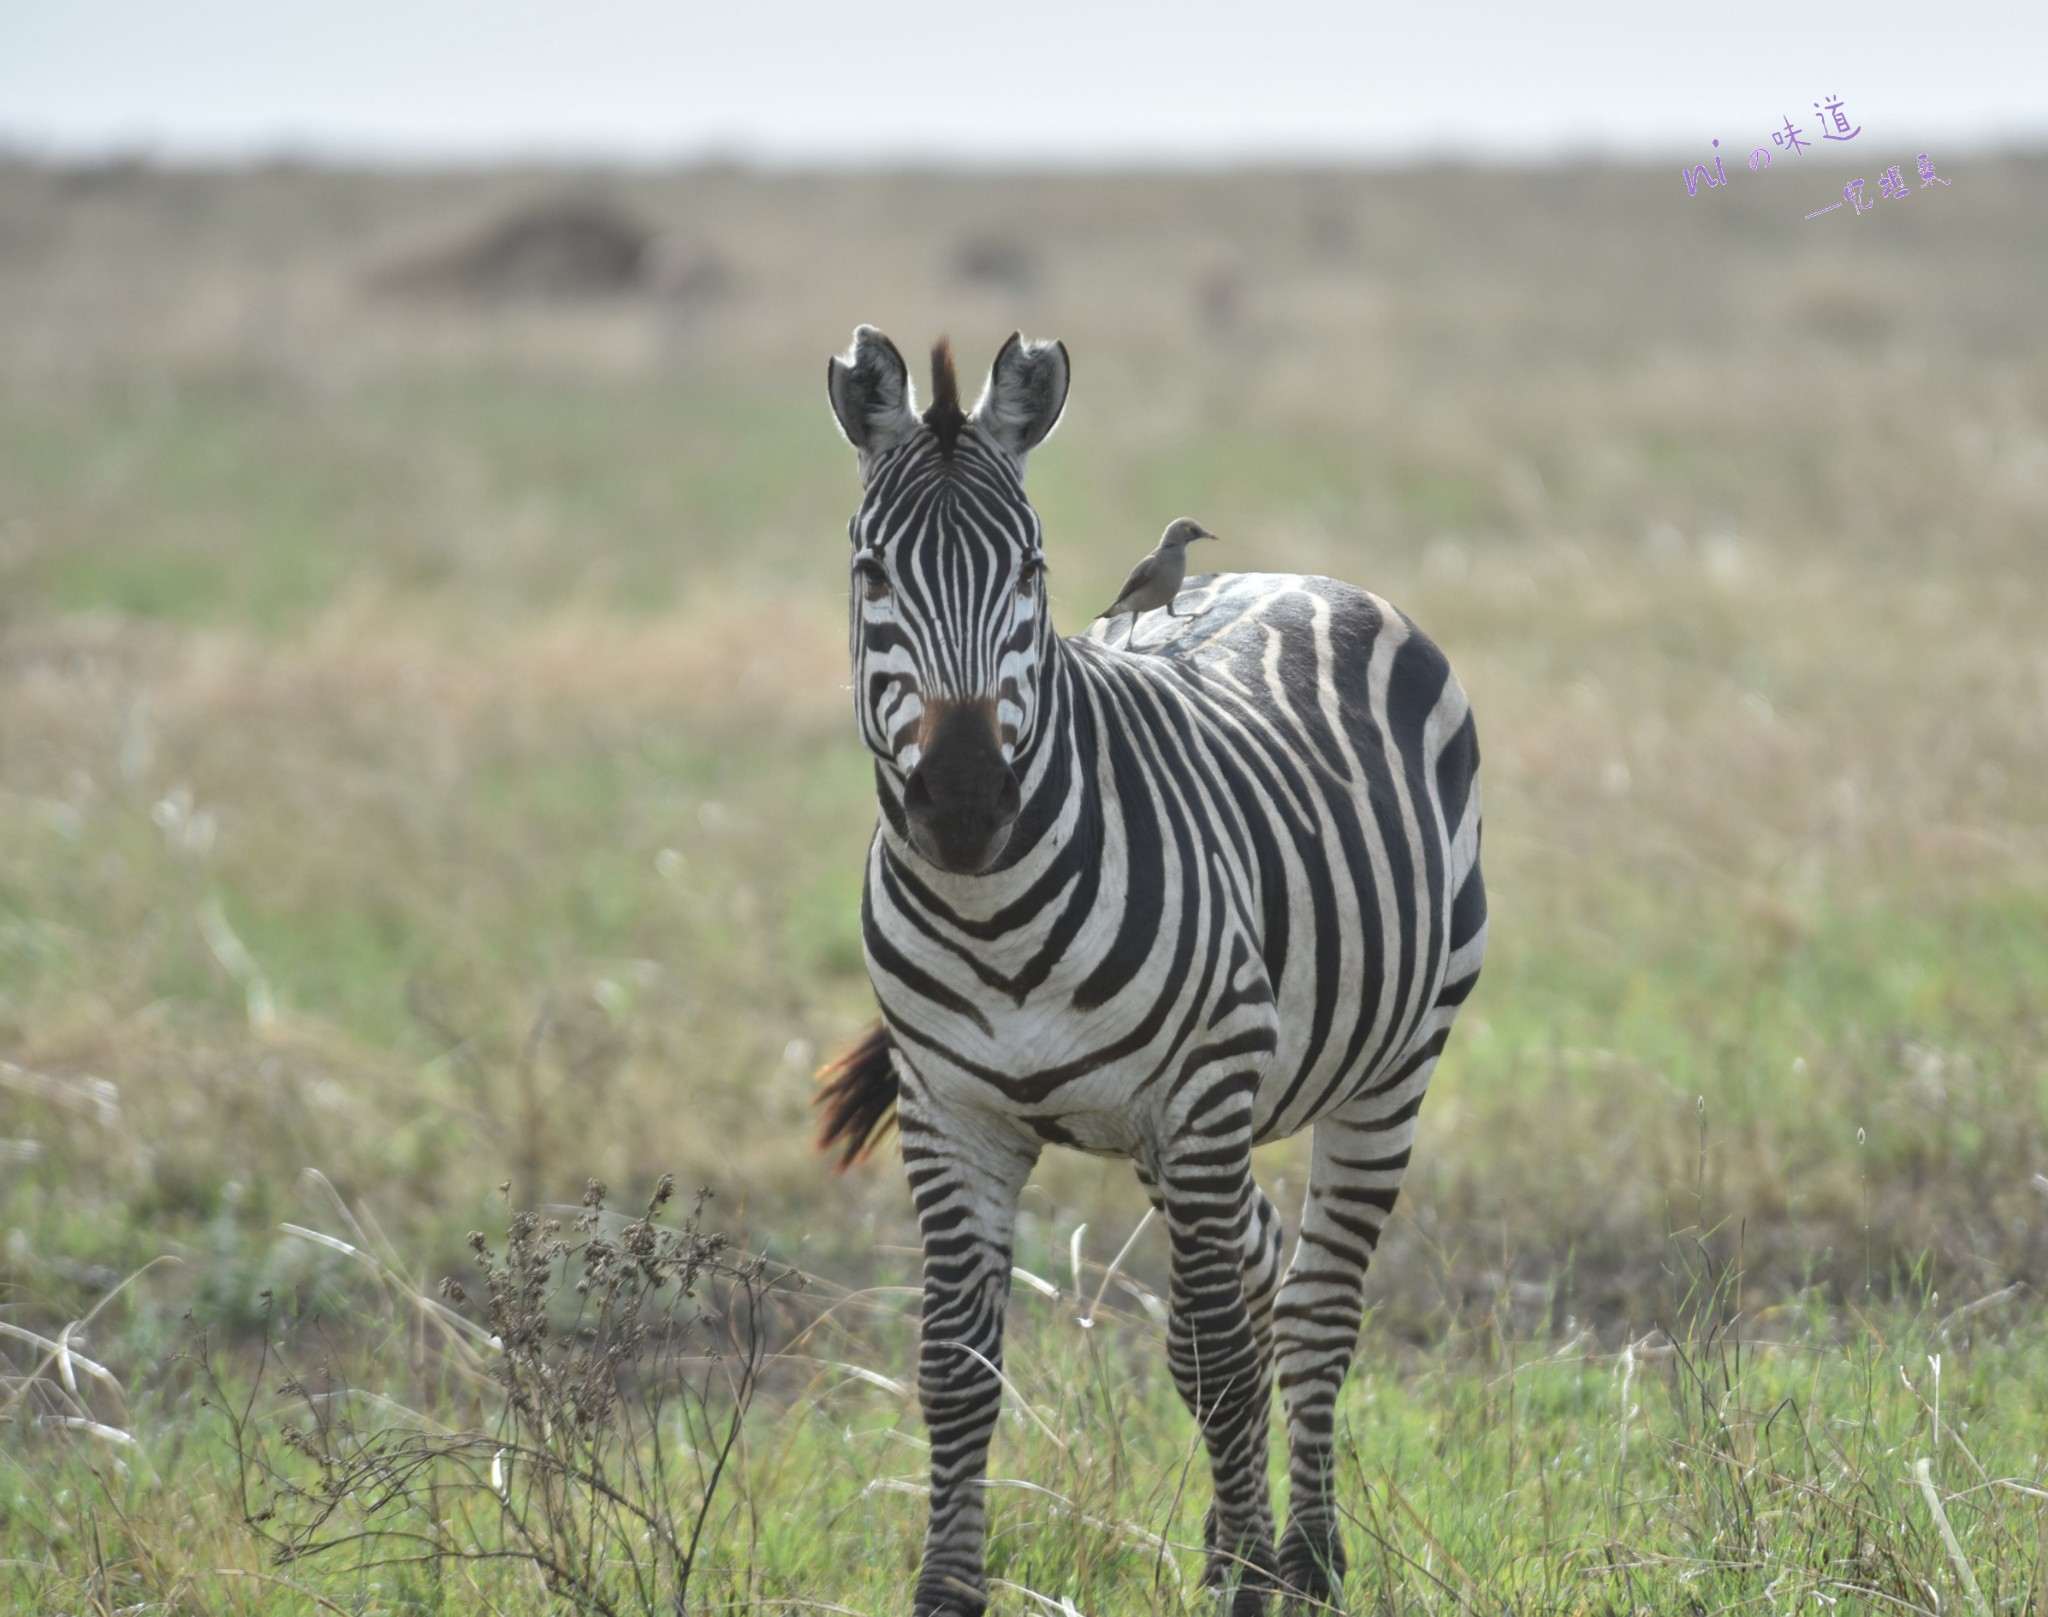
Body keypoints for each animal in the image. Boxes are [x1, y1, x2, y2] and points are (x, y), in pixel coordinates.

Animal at [815, 329, 1490, 1617]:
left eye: (1030, 568)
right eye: (871, 572)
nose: (964, 805)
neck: (992, 917)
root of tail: (1294, 576)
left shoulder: (1205, 1087)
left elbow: (1222, 1362)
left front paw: (1250, 1588)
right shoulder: (948, 1112)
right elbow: (957, 1368)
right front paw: (947, 1591)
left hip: (1383, 1068)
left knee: (1310, 1312)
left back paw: (1305, 1561)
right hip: (1170, 1139)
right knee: (1253, 1282)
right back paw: (1251, 1541)